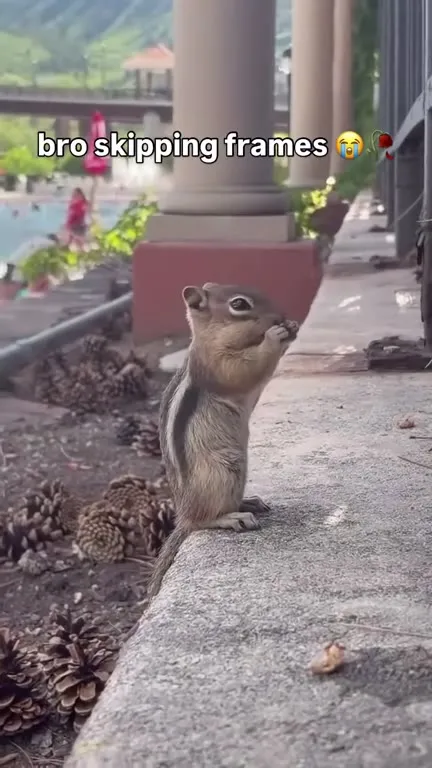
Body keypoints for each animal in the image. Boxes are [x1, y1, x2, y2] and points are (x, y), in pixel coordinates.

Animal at [147, 282, 299, 598]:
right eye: (239, 304)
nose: (280, 316)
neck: (209, 337)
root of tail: (183, 514)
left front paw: (291, 328)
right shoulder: (219, 365)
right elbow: (246, 370)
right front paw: (275, 336)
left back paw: (247, 502)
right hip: (225, 469)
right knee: (202, 521)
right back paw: (231, 517)